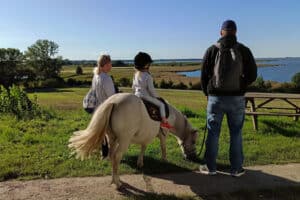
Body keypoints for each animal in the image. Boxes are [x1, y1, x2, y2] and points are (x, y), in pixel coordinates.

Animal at [69, 93, 198, 188]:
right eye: (193, 142)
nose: (192, 158)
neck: (171, 115)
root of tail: (113, 102)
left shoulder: (145, 137)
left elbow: (143, 148)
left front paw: (140, 162)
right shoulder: (163, 135)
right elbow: (163, 147)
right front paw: (164, 160)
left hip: (112, 138)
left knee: (112, 155)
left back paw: (114, 179)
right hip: (124, 140)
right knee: (117, 156)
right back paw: (117, 182)